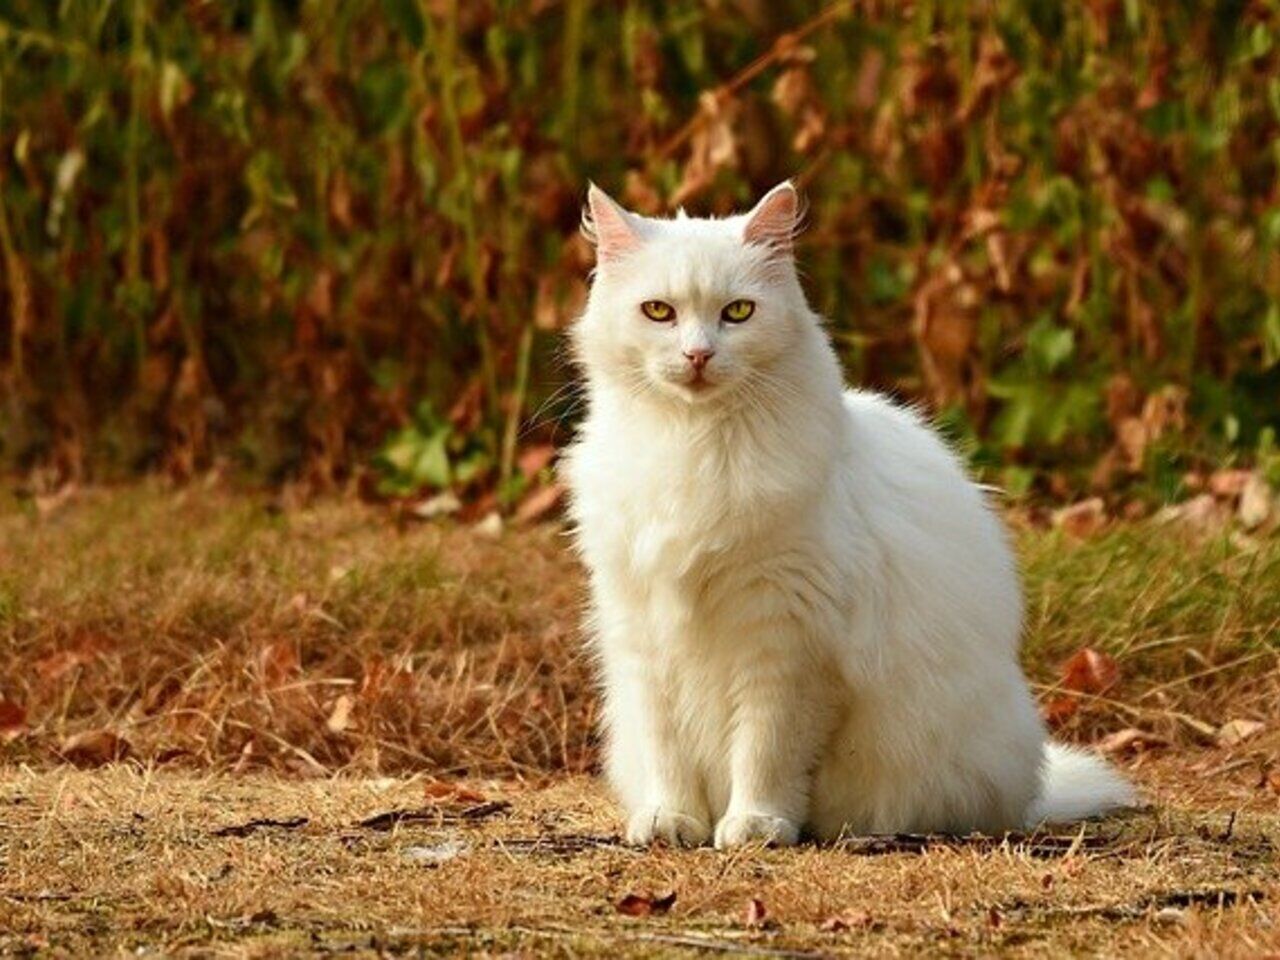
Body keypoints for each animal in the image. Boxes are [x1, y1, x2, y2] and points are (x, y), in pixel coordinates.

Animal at [560, 180, 1131, 849]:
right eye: (658, 313)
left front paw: (756, 825)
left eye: (737, 313)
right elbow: (666, 749)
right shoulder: (644, 629)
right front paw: (671, 820)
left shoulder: (788, 640)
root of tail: (1029, 788)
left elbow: (765, 748)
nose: (698, 355)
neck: (691, 445)